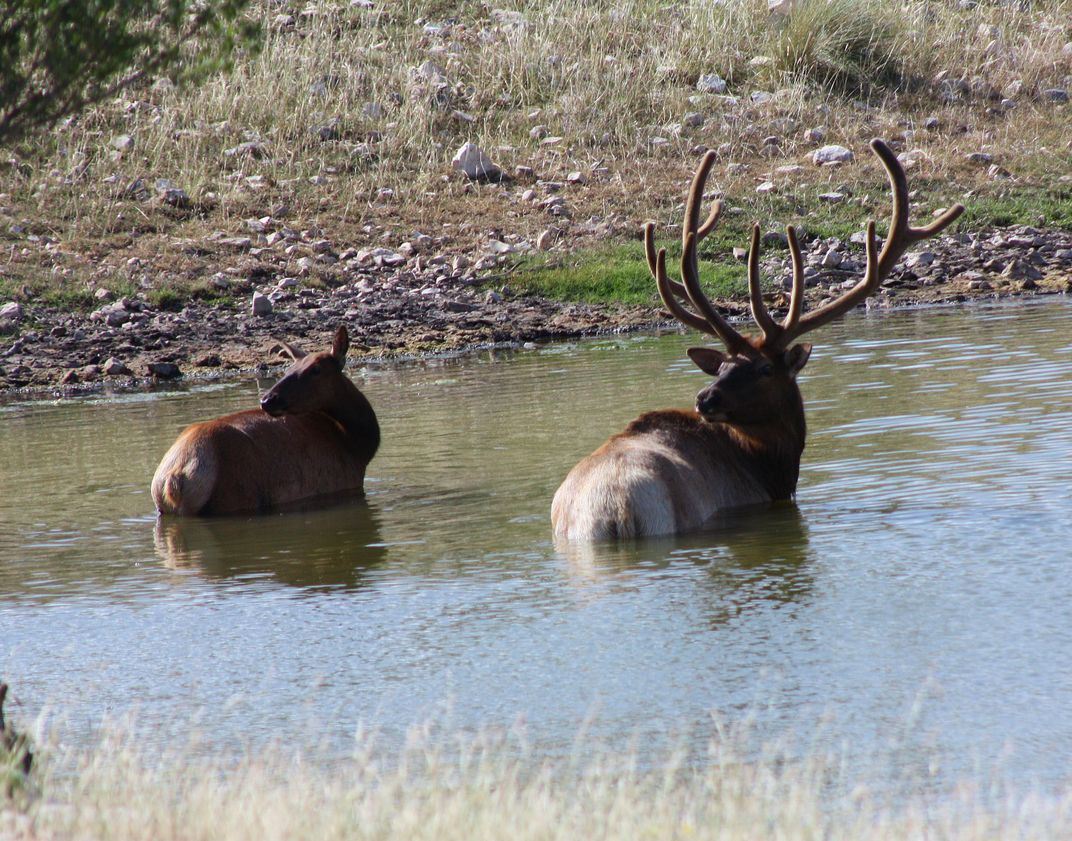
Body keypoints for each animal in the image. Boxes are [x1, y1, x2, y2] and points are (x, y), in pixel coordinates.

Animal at [151, 325, 380, 516]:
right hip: (235, 497)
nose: (268, 399)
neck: (356, 446)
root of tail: (173, 479)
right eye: (288, 369)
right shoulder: (346, 482)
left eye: (316, 369)